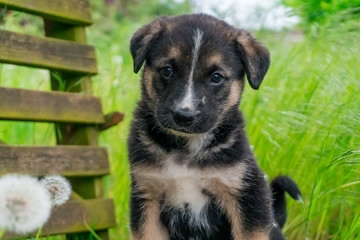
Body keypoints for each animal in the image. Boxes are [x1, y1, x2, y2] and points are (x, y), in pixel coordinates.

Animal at [128, 13, 300, 240]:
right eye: (167, 70)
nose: (184, 116)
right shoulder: (146, 195)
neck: (186, 150)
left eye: (216, 77)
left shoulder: (248, 195)